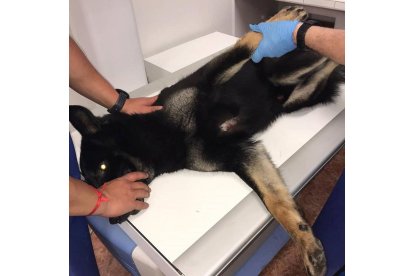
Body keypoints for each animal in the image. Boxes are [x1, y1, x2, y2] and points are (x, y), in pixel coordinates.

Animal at [69, 6, 344, 276]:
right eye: (91, 185)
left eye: (103, 168)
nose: (113, 220)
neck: (163, 134)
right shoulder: (242, 155)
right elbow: (275, 201)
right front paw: (307, 245)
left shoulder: (207, 78)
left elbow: (246, 43)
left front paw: (280, 20)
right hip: (299, 96)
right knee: (332, 60)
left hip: (279, 70)